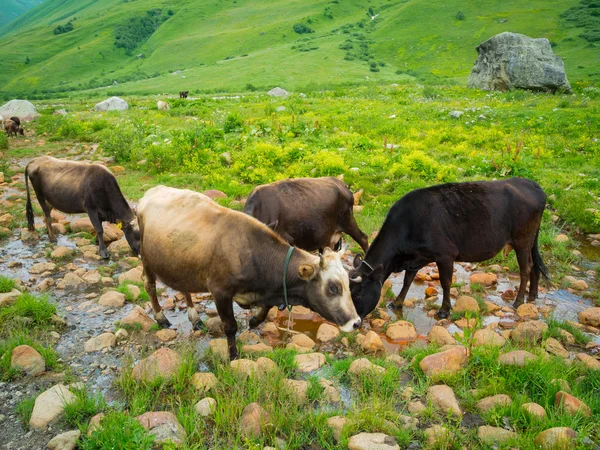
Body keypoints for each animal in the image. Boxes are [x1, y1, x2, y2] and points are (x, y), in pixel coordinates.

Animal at [137, 185, 360, 358]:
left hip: (182, 262)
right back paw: (161, 318)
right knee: (149, 284)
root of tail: (152, 192)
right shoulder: (220, 292)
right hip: (146, 258)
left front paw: (254, 320)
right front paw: (233, 356)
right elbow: (230, 326)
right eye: (333, 287)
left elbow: (267, 308)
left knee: (184, 288)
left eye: (348, 284)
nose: (356, 322)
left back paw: (194, 318)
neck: (253, 253)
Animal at [350, 178, 552, 318]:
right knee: (534, 266)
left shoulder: (445, 254)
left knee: (526, 268)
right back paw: (532, 297)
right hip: (530, 240)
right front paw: (397, 303)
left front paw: (444, 310)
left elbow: (445, 282)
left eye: (358, 293)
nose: (353, 322)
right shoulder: (415, 258)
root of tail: (532, 184)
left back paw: (518, 302)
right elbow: (407, 280)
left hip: (522, 240)